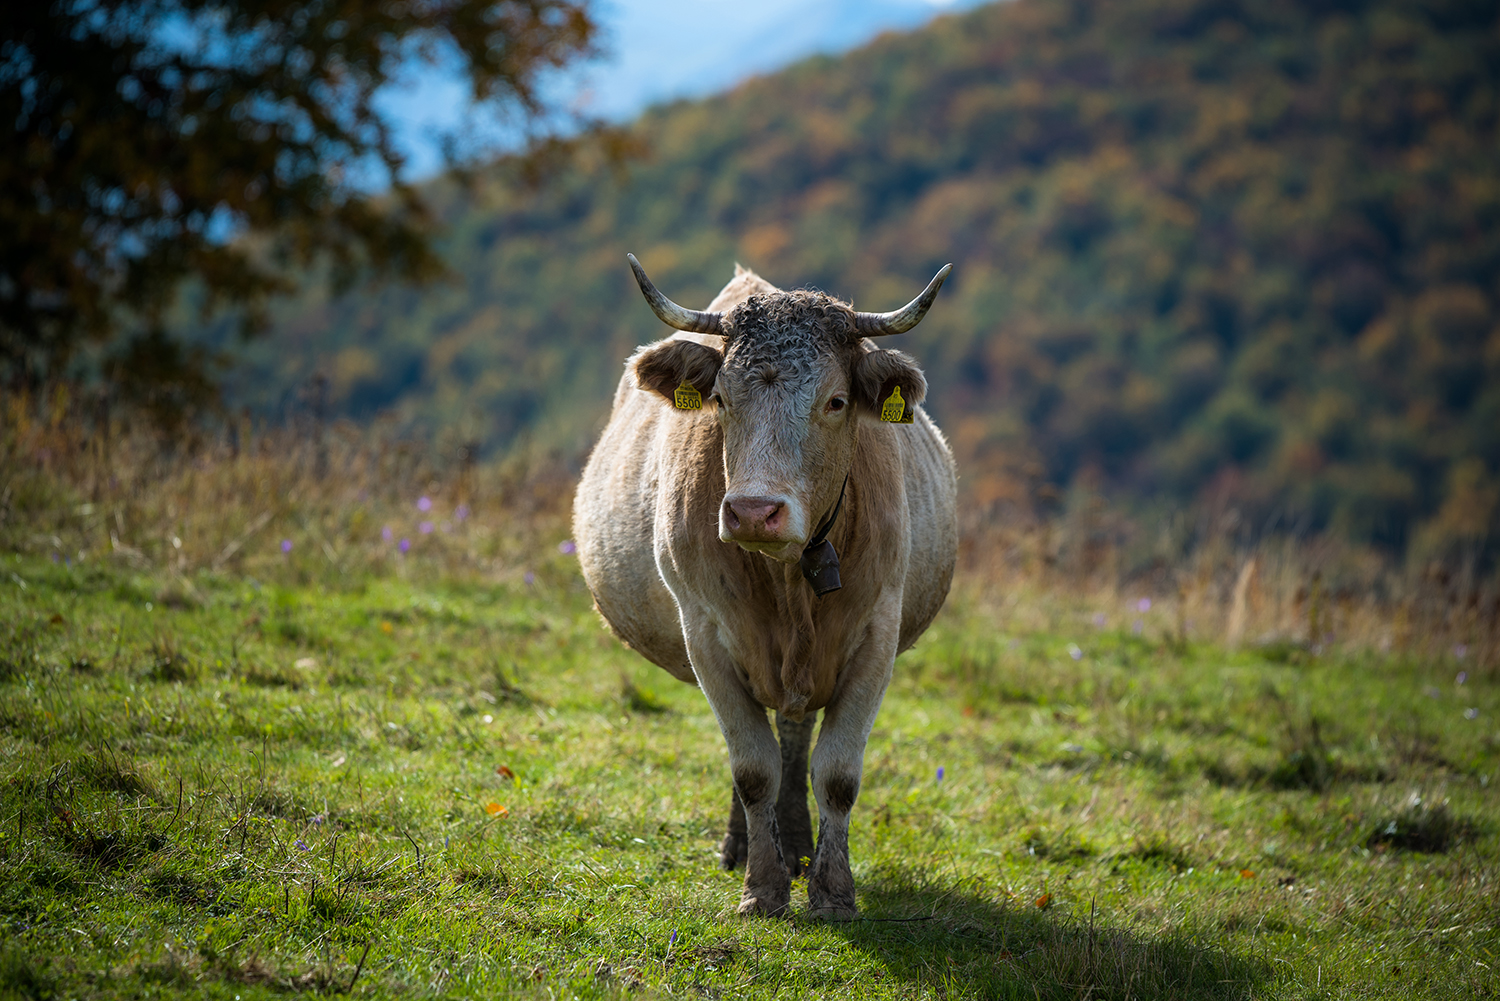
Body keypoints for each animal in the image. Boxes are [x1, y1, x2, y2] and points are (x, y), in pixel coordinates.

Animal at [573, 256, 960, 918]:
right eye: (721, 399)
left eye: (835, 401)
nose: (753, 512)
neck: (788, 581)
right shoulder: (704, 633)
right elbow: (752, 768)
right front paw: (763, 887)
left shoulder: (877, 634)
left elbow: (836, 774)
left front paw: (832, 893)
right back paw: (747, 847)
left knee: (796, 736)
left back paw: (799, 845)